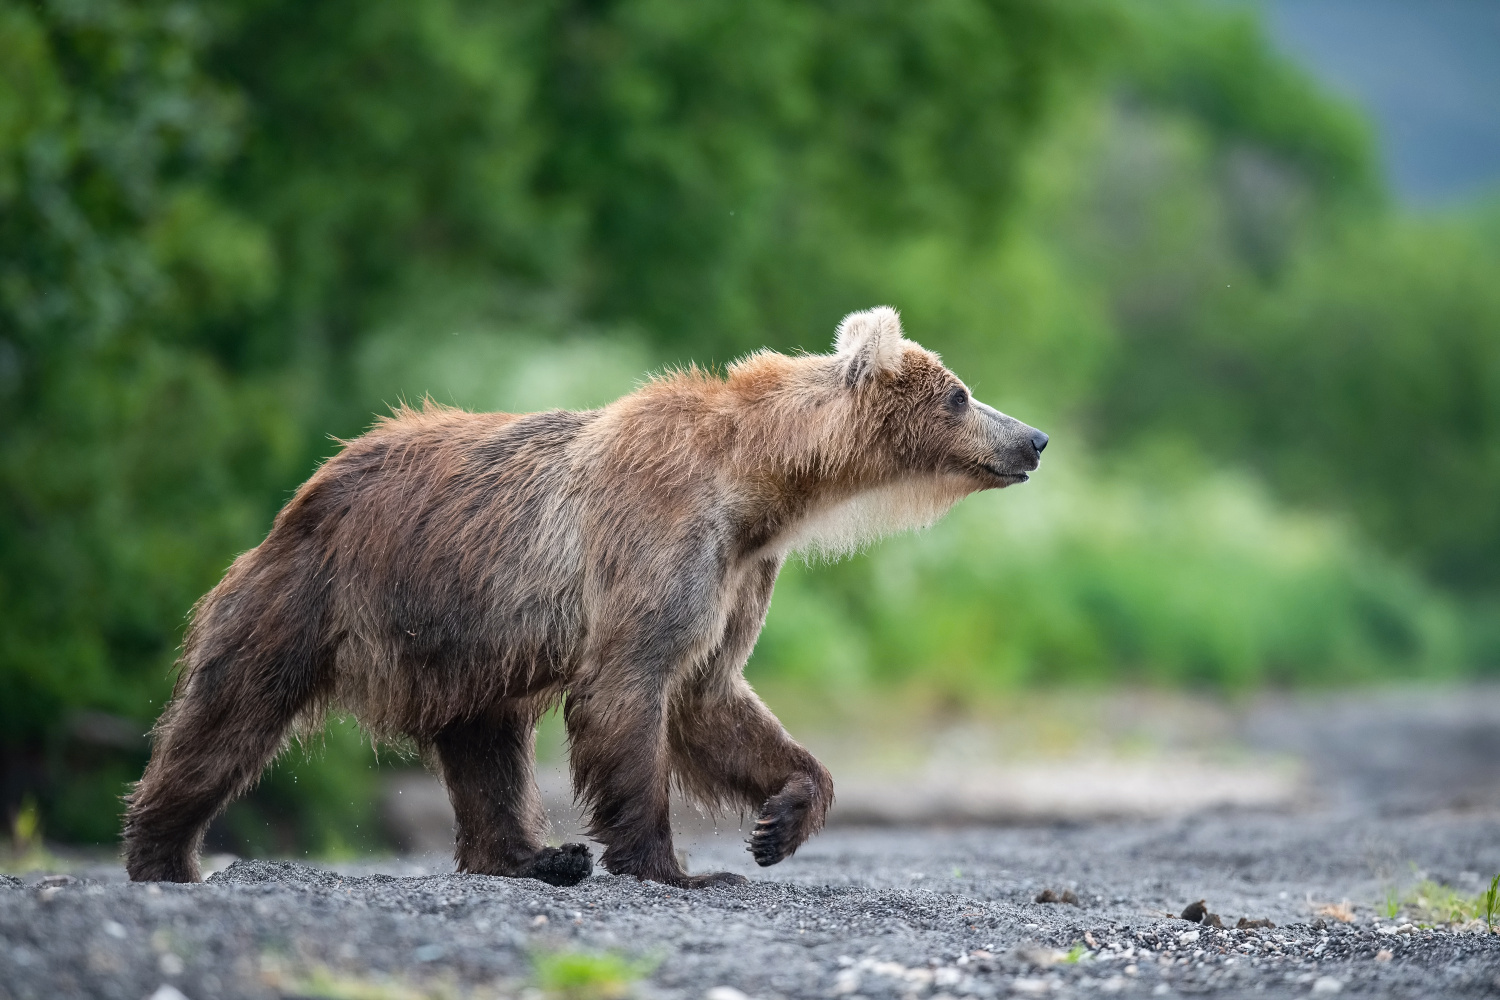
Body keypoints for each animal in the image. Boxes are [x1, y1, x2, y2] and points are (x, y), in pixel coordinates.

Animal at [123, 308, 1050, 887]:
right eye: (960, 393)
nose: (1033, 438)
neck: (760, 489)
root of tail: (312, 483)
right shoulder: (657, 538)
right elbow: (632, 689)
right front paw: (675, 864)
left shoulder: (739, 573)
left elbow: (713, 696)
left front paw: (780, 820)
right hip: (315, 596)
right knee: (230, 714)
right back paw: (165, 853)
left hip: (468, 642)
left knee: (487, 750)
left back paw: (533, 856)